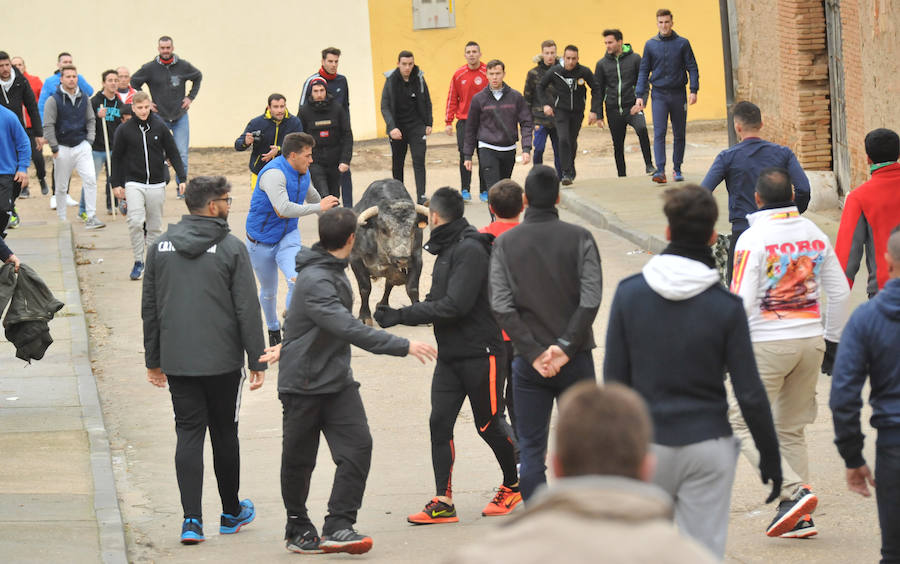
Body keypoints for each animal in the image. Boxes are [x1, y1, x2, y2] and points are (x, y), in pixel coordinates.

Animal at [348, 178, 428, 324]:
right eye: (384, 229)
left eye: (413, 227)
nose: (402, 259)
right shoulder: (355, 259)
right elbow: (365, 288)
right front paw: (364, 316)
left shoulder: (416, 258)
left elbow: (412, 288)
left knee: (388, 285)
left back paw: (383, 304)